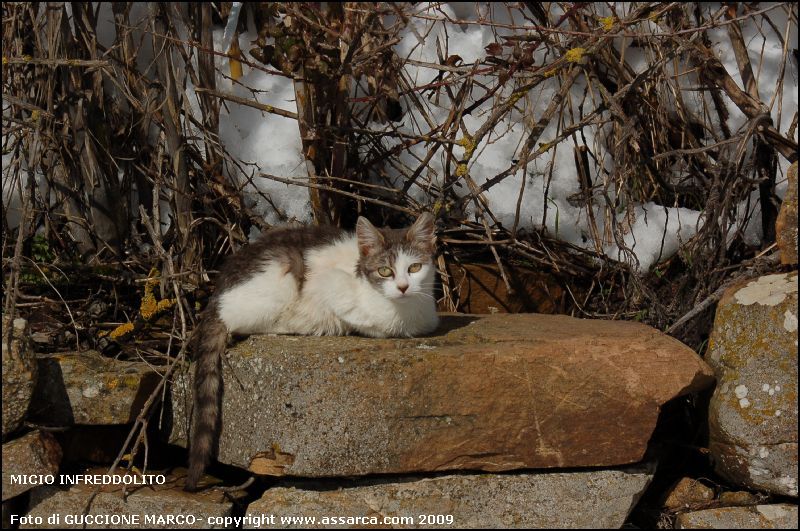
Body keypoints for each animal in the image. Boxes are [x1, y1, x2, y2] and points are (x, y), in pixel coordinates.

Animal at [185, 212, 440, 490]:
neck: (404, 313)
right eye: (385, 271)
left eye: (414, 268)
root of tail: (217, 291)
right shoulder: (329, 284)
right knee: (238, 318)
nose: (403, 287)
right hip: (281, 277)